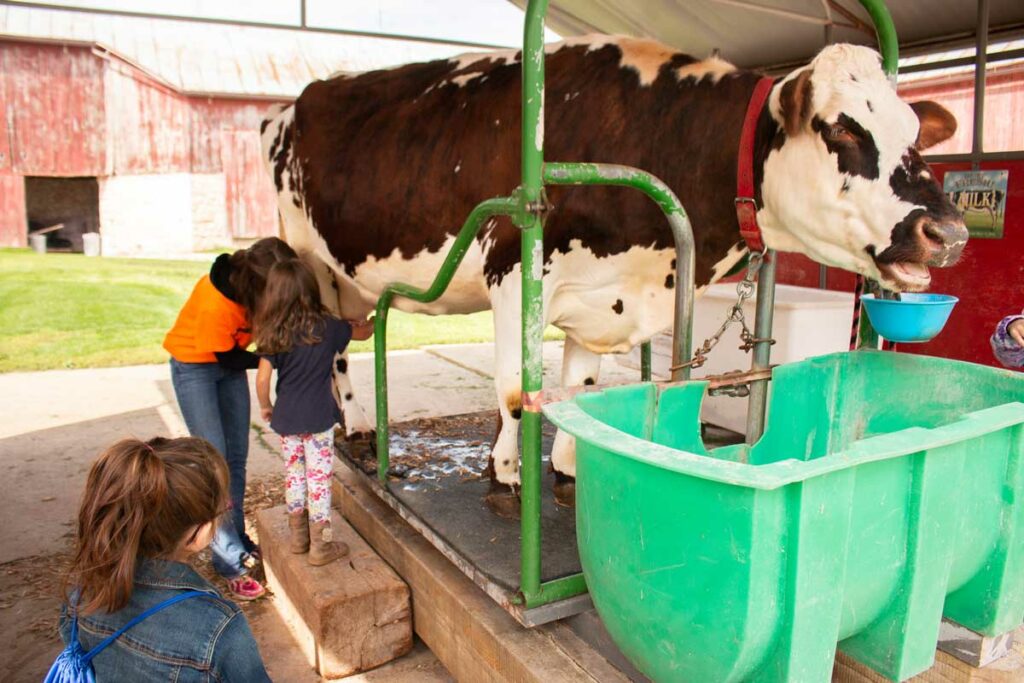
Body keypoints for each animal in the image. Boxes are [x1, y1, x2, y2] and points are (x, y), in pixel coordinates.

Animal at [260, 37, 962, 516]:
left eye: (913, 131)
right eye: (841, 127)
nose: (948, 231)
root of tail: (291, 104)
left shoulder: (604, 297)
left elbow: (584, 389)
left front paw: (573, 467)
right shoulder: (513, 270)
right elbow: (515, 393)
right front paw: (508, 471)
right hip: (311, 261)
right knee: (335, 348)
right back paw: (357, 424)